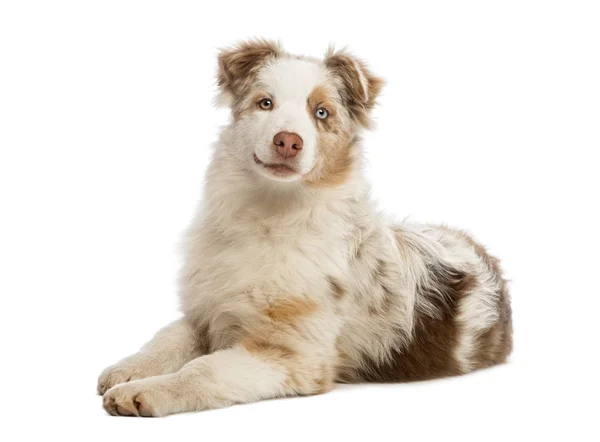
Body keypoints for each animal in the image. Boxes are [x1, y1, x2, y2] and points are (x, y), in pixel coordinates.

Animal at [97, 39, 510, 416]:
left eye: (321, 113)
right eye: (266, 103)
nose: (288, 141)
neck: (270, 214)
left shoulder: (295, 356)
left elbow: (204, 369)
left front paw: (148, 391)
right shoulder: (206, 310)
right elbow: (168, 337)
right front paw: (130, 369)